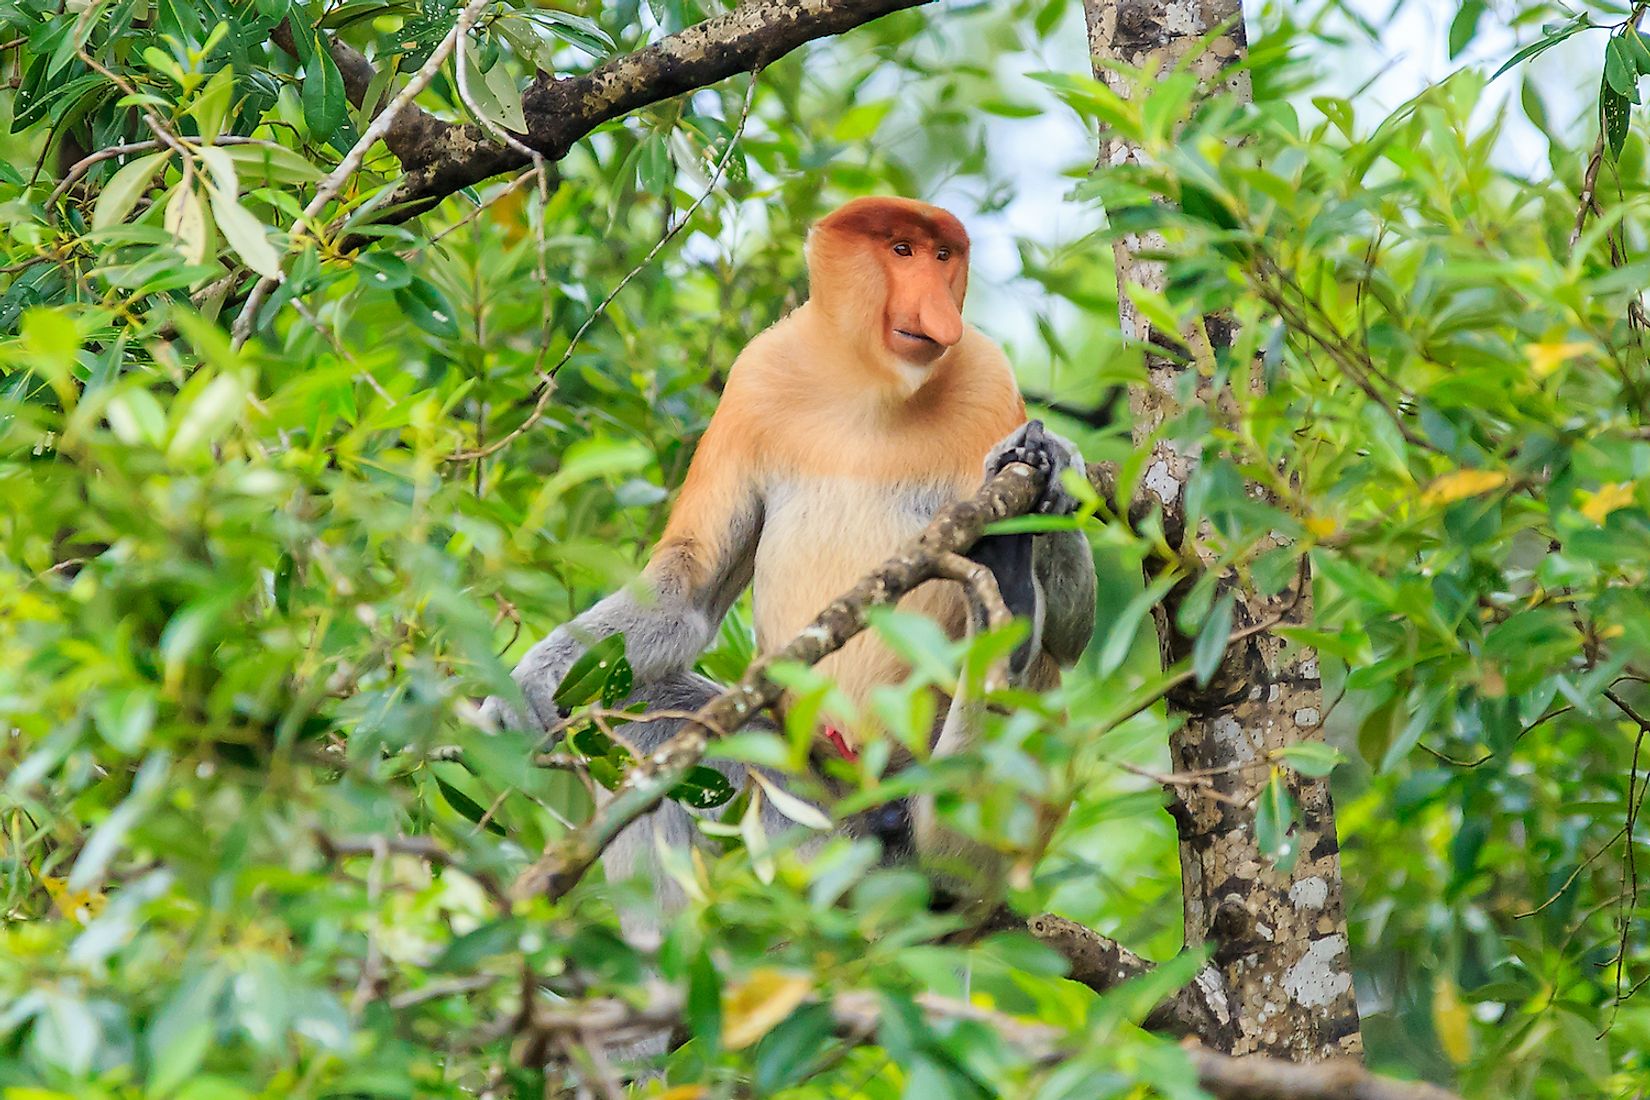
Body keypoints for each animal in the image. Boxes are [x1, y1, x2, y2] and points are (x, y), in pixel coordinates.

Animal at [485, 197, 1095, 910]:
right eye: (903, 251)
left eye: (944, 257)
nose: (940, 310)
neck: (872, 388)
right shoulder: (757, 377)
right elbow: (687, 591)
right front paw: (524, 686)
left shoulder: (990, 377)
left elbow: (1074, 638)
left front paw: (1052, 463)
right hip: (801, 810)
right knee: (633, 724)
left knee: (1039, 668)